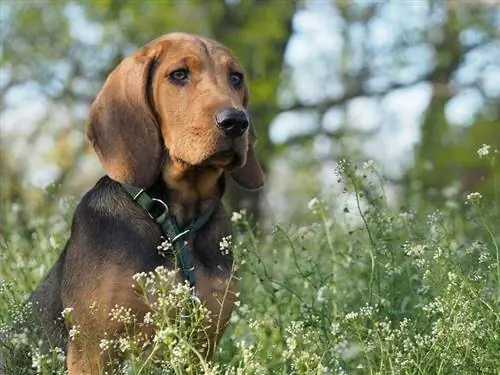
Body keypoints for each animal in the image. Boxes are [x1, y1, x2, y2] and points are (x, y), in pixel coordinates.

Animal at [30, 31, 266, 374]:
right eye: (179, 74)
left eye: (236, 77)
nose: (236, 121)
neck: (177, 224)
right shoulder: (92, 351)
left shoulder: (203, 343)